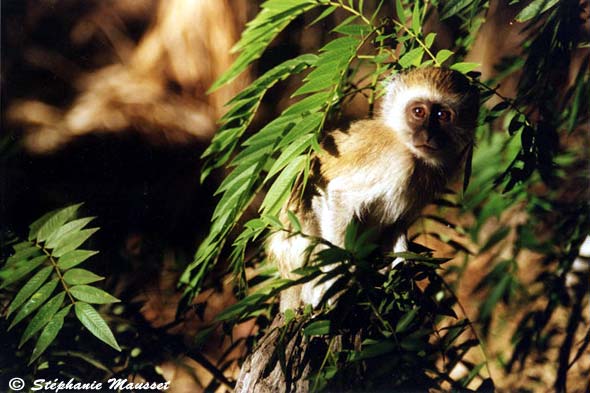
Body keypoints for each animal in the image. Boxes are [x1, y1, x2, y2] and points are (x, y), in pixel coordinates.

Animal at [268, 68, 480, 312]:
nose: (428, 135)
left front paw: (401, 264)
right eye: (418, 111)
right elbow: (340, 195)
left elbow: (397, 224)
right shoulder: (395, 160)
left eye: (442, 115)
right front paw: (335, 279)